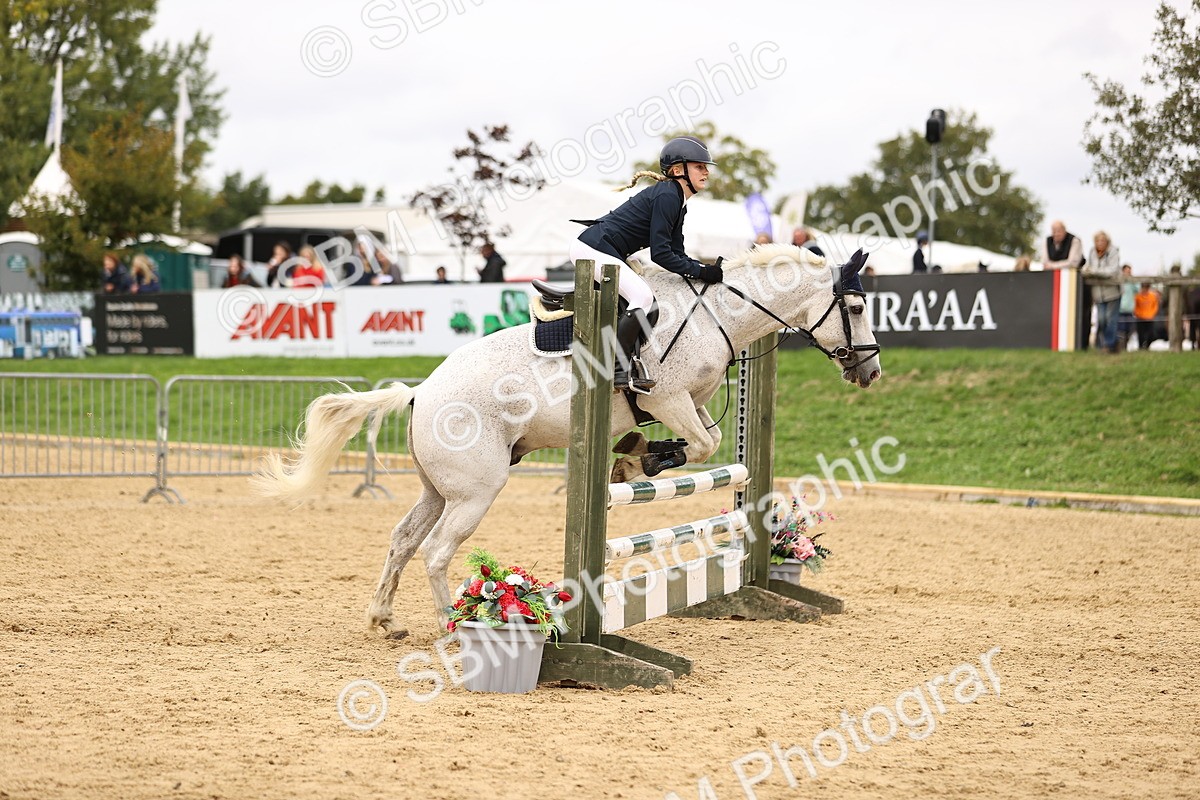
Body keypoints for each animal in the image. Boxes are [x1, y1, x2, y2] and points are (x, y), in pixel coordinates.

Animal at [253, 243, 882, 639]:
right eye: (855, 306)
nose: (870, 372)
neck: (717, 315)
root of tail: (422, 390)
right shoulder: (667, 399)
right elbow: (701, 448)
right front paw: (634, 464)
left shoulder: (694, 404)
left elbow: (714, 437)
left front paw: (638, 456)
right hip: (477, 490)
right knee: (436, 552)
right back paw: (450, 626)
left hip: (439, 489)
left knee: (403, 540)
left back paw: (384, 619)